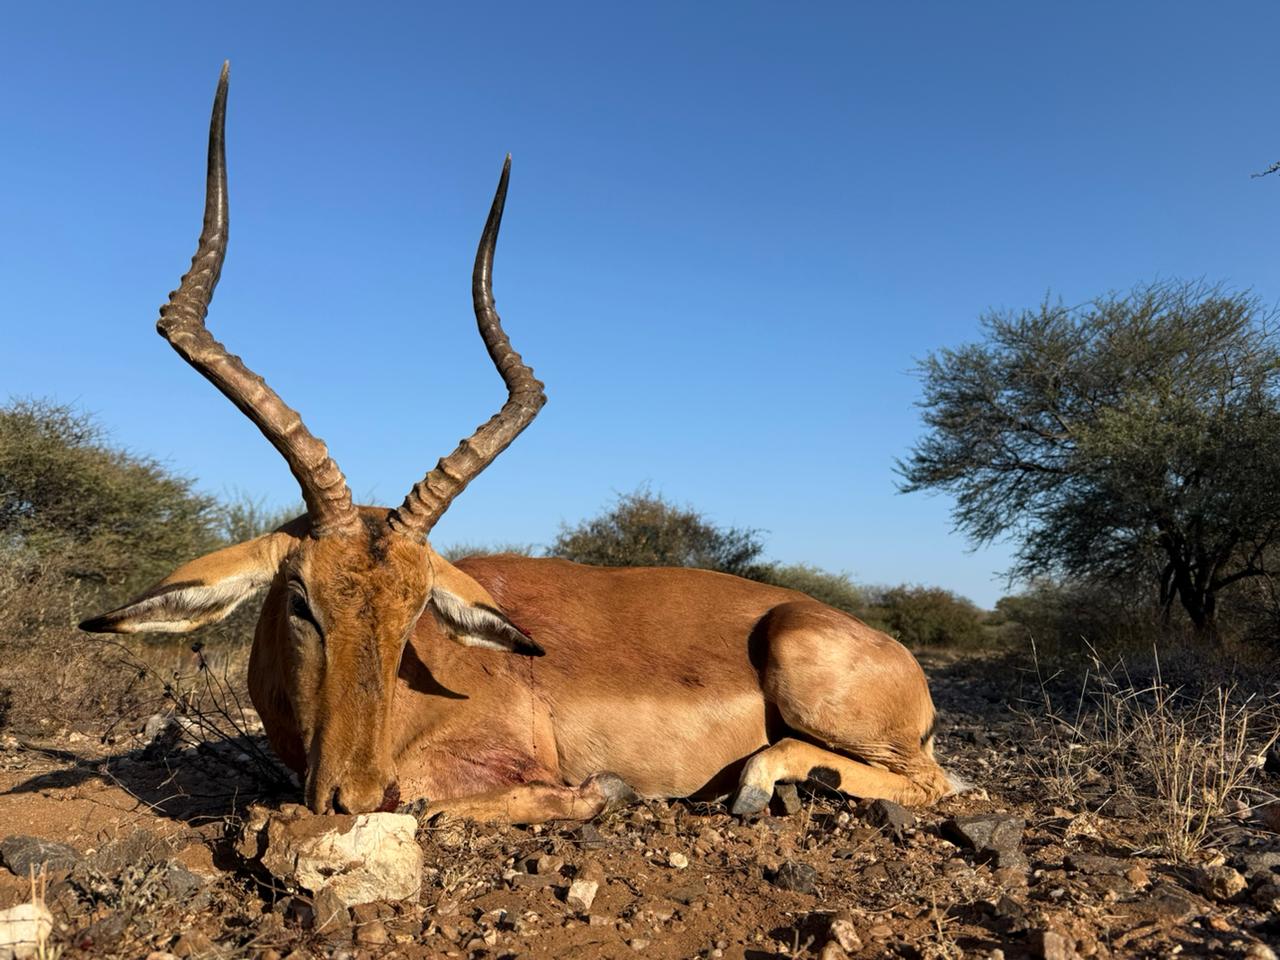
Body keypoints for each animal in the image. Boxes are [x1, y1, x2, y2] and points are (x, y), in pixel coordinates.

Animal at [80, 64, 957, 822]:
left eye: (414, 615)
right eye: (301, 600)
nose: (351, 799)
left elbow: (442, 798)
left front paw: (604, 791)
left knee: (930, 781)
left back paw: (757, 785)